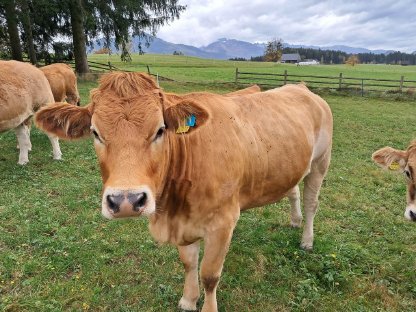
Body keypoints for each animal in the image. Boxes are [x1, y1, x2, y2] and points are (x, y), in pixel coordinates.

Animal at [37, 71, 334, 312]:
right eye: (96, 132)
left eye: (160, 130)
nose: (126, 200)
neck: (173, 207)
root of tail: (301, 87)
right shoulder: (182, 224)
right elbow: (189, 263)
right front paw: (188, 300)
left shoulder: (223, 222)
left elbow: (210, 275)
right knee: (294, 191)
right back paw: (294, 219)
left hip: (321, 162)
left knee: (312, 202)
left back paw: (306, 239)